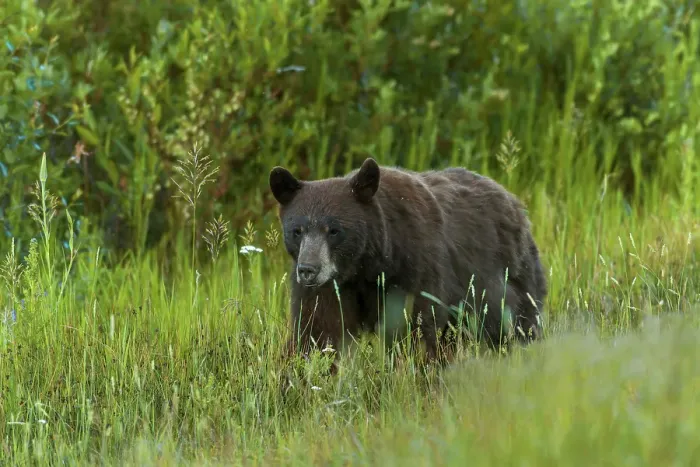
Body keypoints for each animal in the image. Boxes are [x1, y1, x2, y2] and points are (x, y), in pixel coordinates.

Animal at [269, 157, 547, 366]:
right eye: (297, 230)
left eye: (334, 230)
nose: (308, 269)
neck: (366, 267)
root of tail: (514, 202)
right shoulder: (329, 289)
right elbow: (318, 331)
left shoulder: (414, 270)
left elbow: (416, 329)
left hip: (506, 280)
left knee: (516, 326)